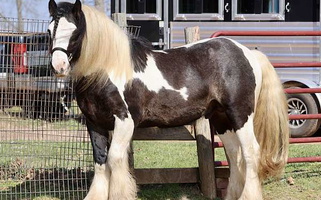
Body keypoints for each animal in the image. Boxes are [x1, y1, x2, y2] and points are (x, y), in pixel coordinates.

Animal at [47, 0, 288, 199]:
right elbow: (100, 161)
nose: (58, 66)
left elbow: (114, 159)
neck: (107, 69)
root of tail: (248, 53)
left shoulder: (124, 121)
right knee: (235, 154)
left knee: (250, 152)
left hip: (240, 115)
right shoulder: (94, 122)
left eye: (75, 32)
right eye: (49, 30)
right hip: (222, 120)